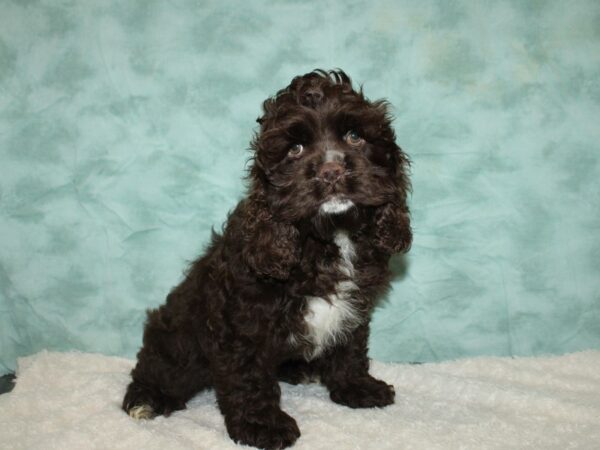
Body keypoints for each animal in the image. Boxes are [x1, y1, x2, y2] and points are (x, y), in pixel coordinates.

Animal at [122, 68, 412, 448]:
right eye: (295, 149)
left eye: (354, 136)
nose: (331, 172)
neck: (327, 237)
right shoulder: (244, 321)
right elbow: (250, 377)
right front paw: (262, 425)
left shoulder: (355, 306)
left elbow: (349, 349)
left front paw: (357, 388)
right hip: (179, 339)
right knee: (161, 366)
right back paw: (145, 399)